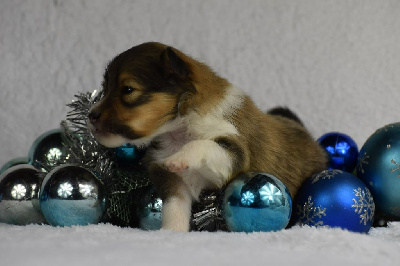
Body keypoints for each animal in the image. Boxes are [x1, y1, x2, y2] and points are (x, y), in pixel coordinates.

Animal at [88, 42, 328, 232]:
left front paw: (179, 158)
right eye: (105, 88)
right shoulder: (174, 184)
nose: (90, 115)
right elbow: (174, 209)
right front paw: (170, 233)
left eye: (128, 89)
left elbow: (203, 145)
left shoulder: (233, 151)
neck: (177, 129)